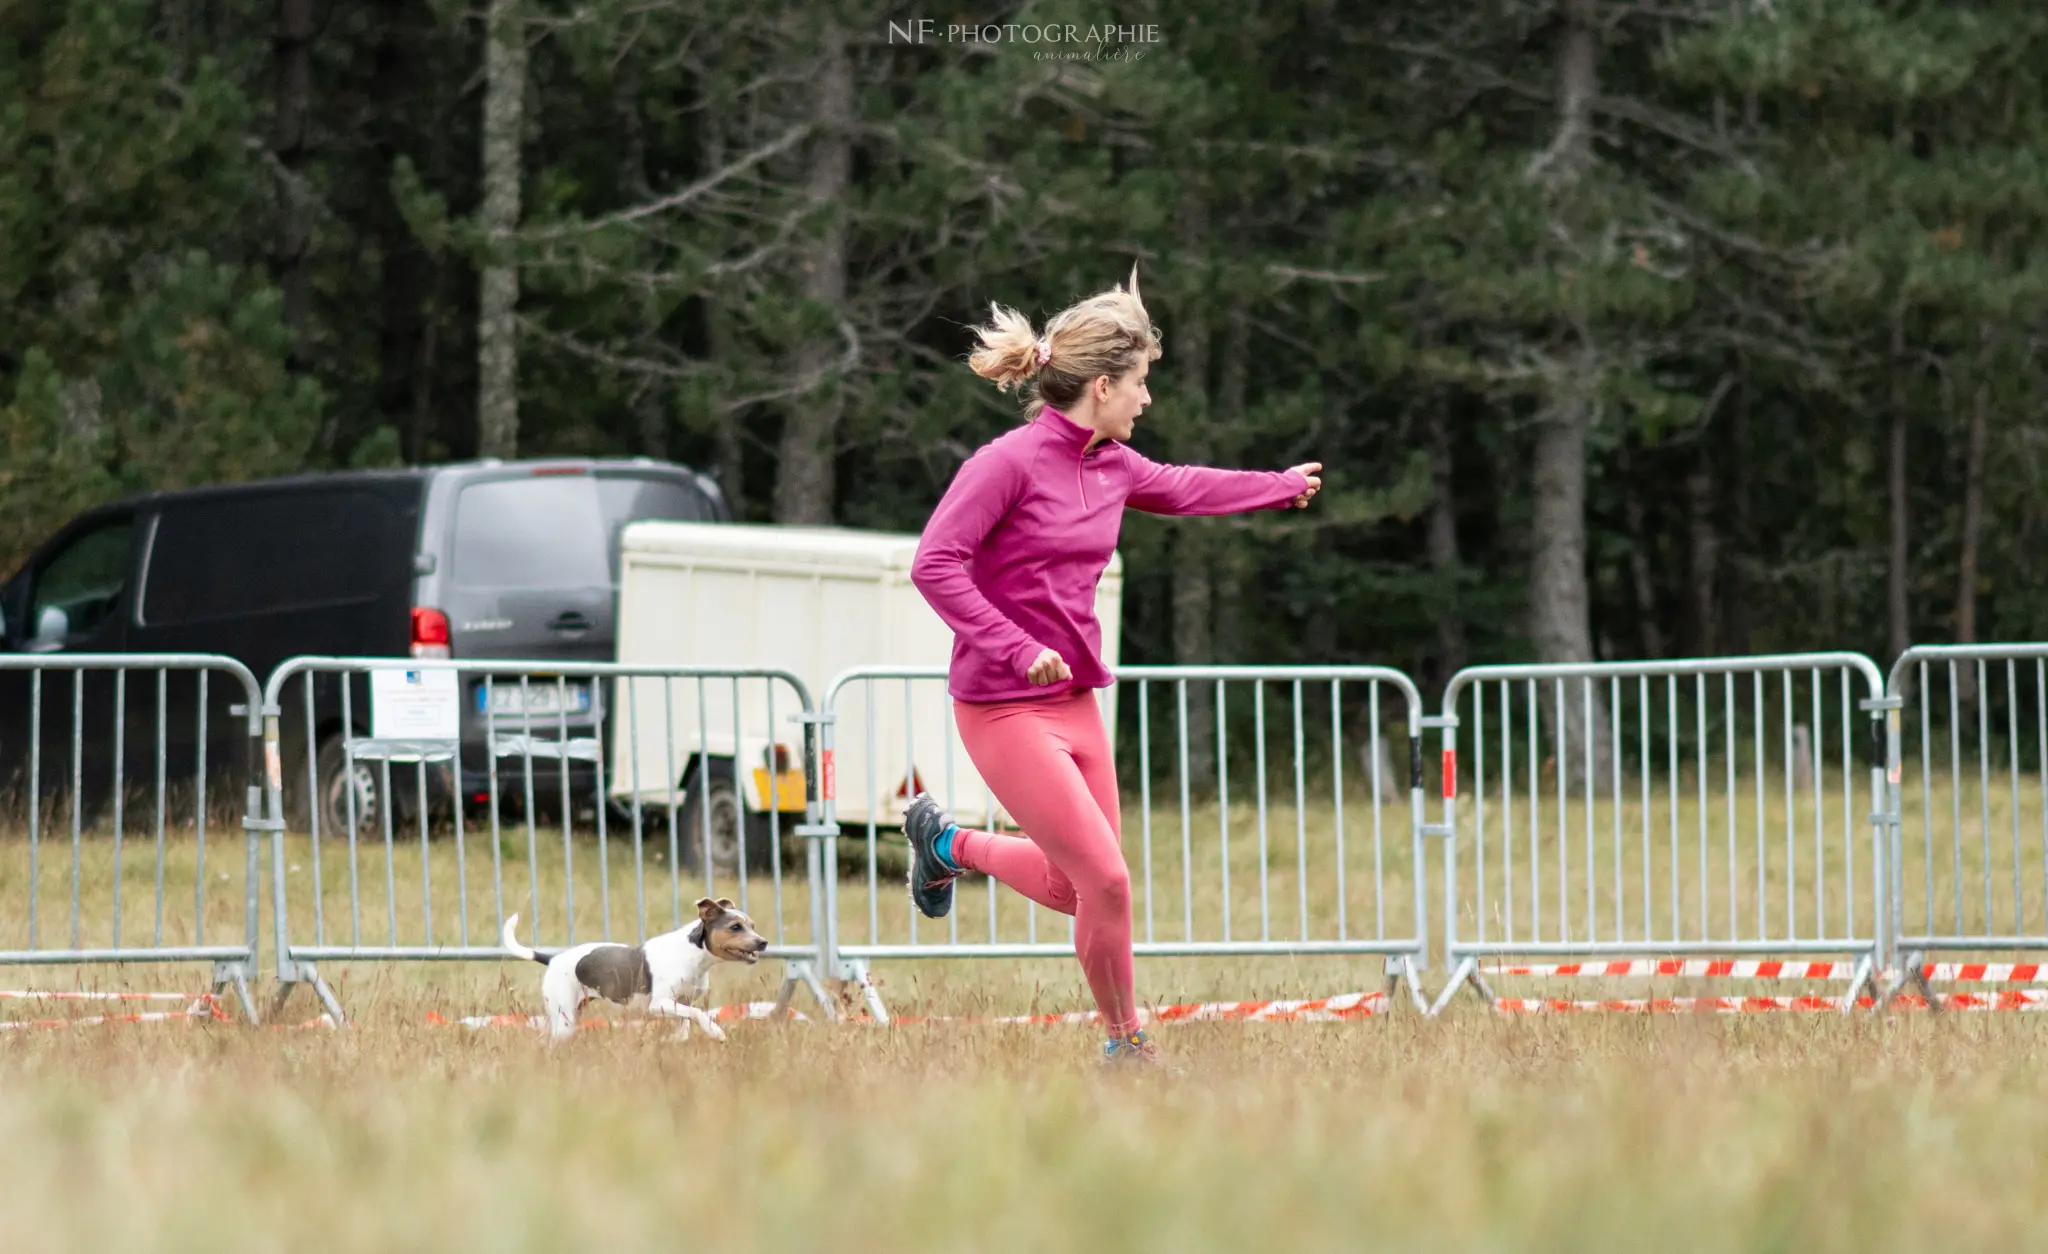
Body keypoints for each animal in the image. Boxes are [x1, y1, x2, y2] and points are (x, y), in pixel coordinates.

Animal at [501, 897, 770, 1045]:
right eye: (735, 927)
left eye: (753, 925)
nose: (763, 942)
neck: (694, 953)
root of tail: (552, 958)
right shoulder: (659, 1004)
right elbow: (700, 1015)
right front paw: (715, 1032)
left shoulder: (681, 1003)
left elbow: (685, 1026)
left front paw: (668, 1040)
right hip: (565, 1018)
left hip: (562, 1014)